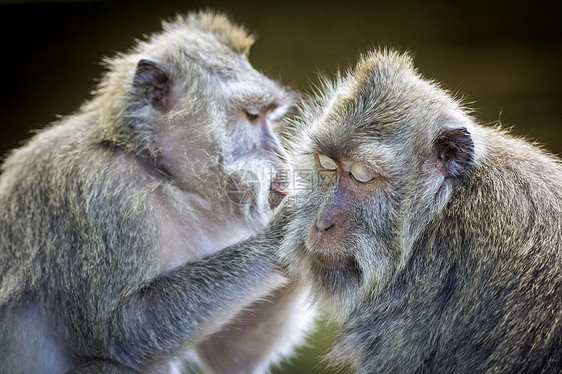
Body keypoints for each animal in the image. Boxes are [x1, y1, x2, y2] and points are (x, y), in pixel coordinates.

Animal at [0, 11, 316, 374]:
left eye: (267, 116)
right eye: (251, 115)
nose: (279, 154)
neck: (152, 164)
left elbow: (231, 354)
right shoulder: (99, 194)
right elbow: (123, 331)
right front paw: (289, 228)